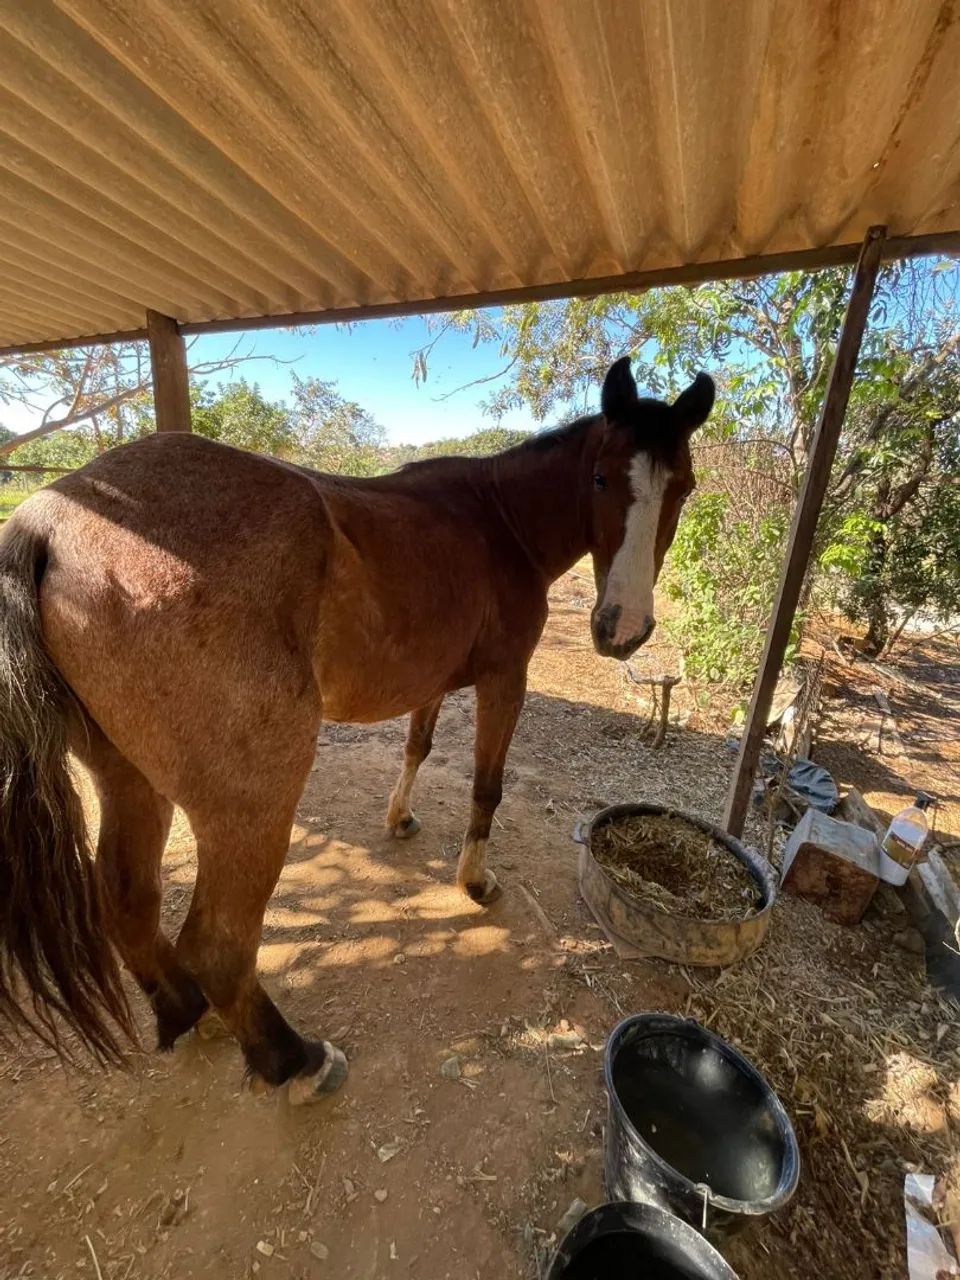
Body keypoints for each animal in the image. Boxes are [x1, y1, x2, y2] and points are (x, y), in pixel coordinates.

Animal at [0, 356, 713, 1101]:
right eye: (602, 478)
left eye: (683, 486)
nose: (623, 627)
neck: (495, 522)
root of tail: (48, 522)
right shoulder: (505, 680)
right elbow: (486, 786)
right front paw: (474, 880)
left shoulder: (432, 684)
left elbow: (417, 747)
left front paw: (400, 819)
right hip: (252, 803)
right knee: (218, 945)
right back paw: (294, 1060)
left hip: (129, 778)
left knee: (127, 902)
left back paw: (185, 1011)